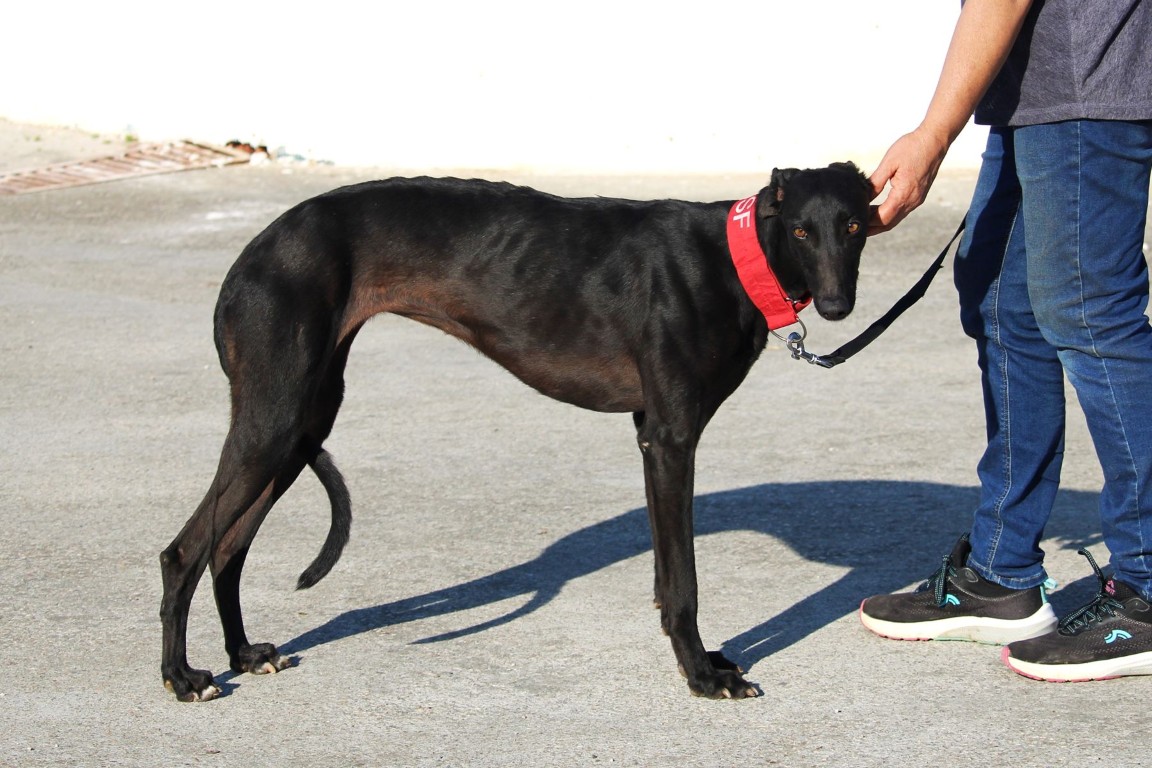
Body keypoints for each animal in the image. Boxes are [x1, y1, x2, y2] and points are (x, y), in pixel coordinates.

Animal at [160, 162, 872, 701]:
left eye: (854, 225)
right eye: (802, 230)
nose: (837, 306)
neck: (733, 260)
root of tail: (253, 252)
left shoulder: (651, 433)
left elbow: (667, 577)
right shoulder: (670, 439)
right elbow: (682, 583)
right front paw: (701, 675)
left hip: (302, 417)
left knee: (226, 548)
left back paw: (244, 653)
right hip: (274, 418)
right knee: (185, 550)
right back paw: (182, 676)